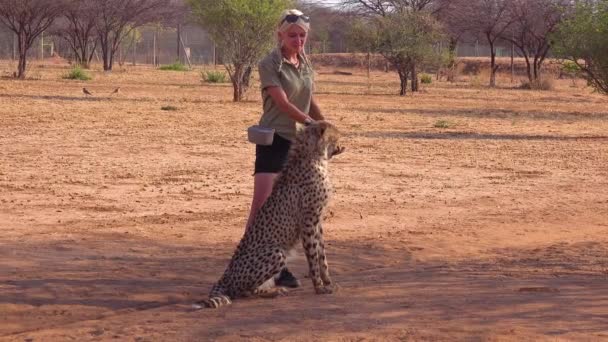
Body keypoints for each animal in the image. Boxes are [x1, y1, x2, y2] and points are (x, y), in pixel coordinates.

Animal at [197, 121, 344, 310]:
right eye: (336, 135)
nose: (343, 141)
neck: (314, 157)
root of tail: (225, 276)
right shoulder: (309, 221)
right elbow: (313, 257)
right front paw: (319, 287)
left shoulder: (317, 221)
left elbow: (322, 256)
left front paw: (328, 282)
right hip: (277, 253)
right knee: (243, 291)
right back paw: (273, 292)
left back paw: (272, 290)